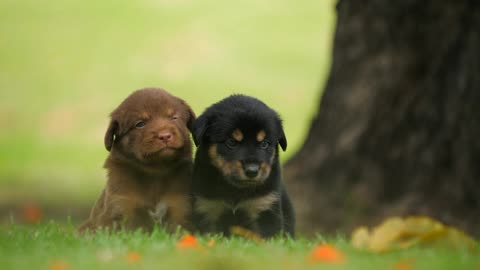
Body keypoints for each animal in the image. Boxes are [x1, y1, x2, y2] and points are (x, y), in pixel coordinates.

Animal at [79, 88, 196, 232]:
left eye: (174, 118)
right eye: (140, 124)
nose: (165, 136)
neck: (156, 171)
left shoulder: (180, 204)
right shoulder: (121, 204)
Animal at [189, 95, 294, 238]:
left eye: (264, 144)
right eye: (231, 142)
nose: (252, 171)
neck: (236, 190)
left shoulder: (265, 206)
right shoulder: (207, 208)